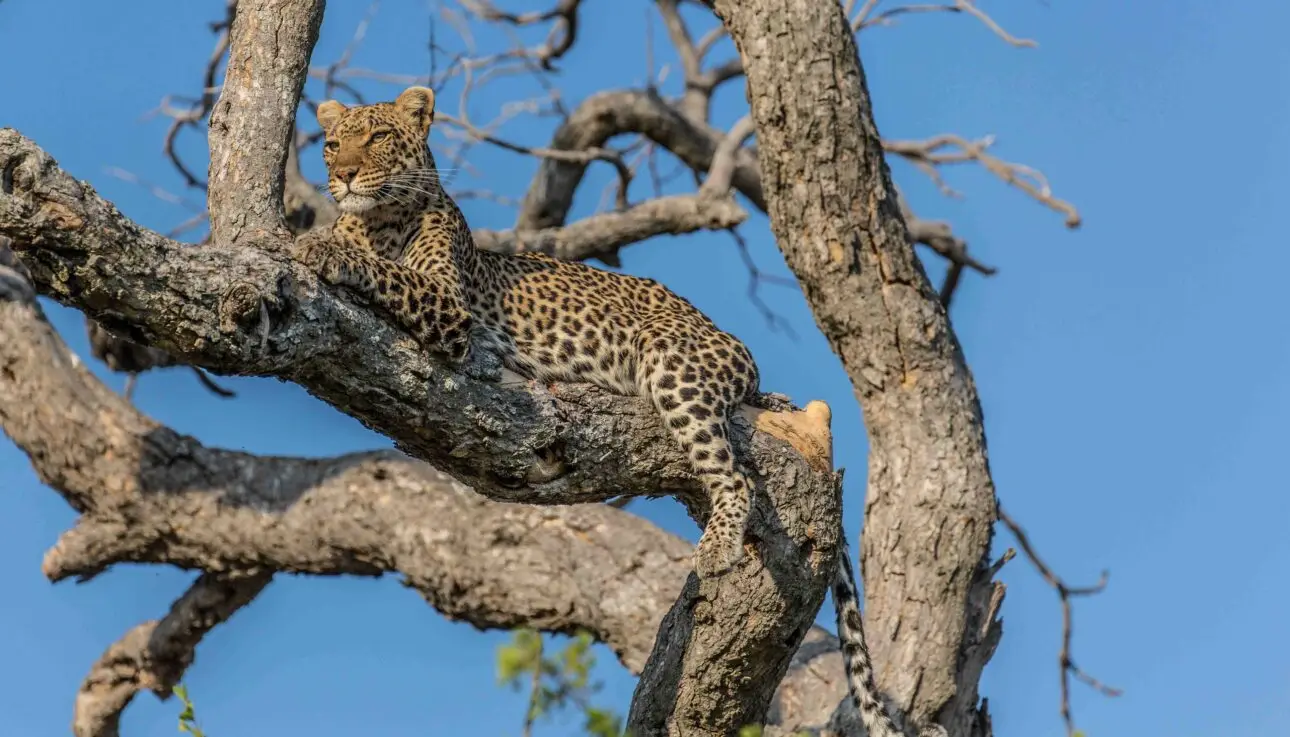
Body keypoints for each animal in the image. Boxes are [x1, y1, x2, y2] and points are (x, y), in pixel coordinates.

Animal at [290, 85, 939, 737]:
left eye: (376, 137)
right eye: (332, 144)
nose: (344, 175)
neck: (378, 220)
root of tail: (744, 359)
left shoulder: (450, 307)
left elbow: (389, 272)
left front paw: (317, 245)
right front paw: (325, 239)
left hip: (672, 361)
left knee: (732, 476)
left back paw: (719, 548)